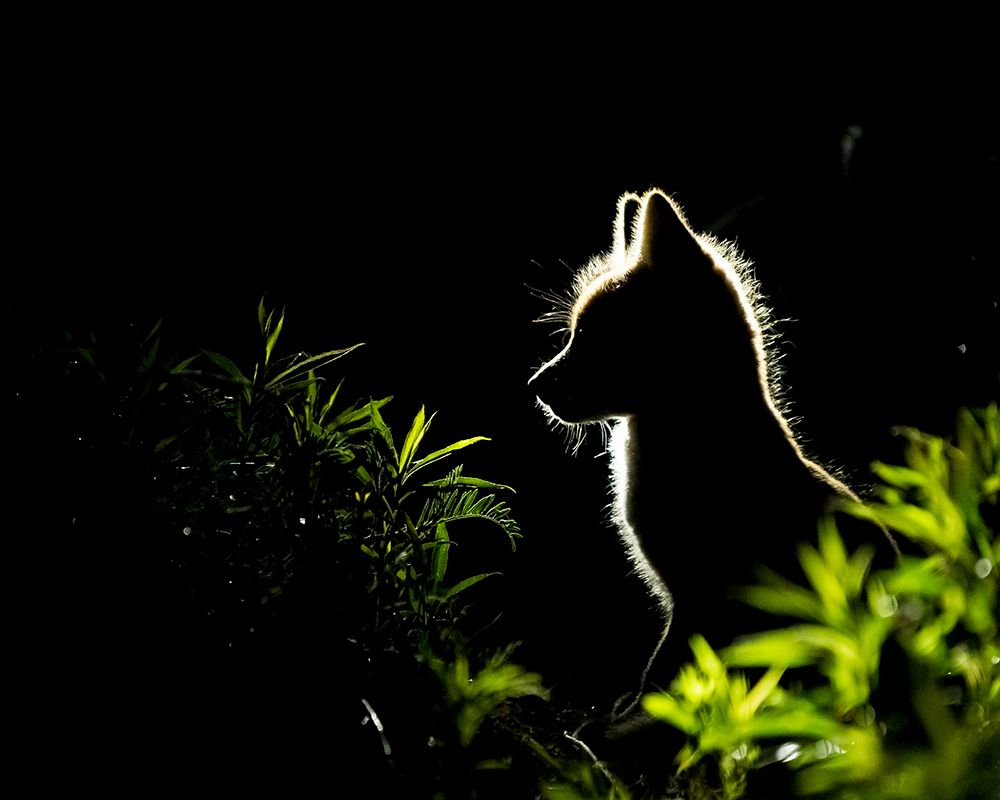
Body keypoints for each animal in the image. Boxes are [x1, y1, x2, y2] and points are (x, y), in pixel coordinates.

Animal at [529, 188, 896, 694]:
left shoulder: (699, 599)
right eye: (572, 332)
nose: (535, 386)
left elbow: (657, 685)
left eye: (591, 334)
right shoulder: (685, 599)